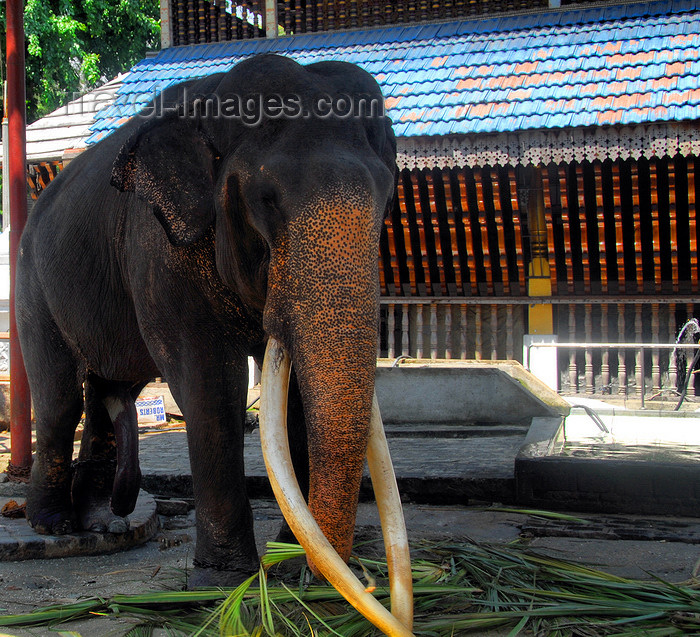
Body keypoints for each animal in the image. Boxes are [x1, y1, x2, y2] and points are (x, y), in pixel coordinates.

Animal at [16, 54, 404, 600]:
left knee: (107, 391)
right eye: (267, 199)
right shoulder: (159, 249)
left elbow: (291, 395)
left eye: (388, 197)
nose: (312, 576)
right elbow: (210, 381)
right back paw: (54, 525)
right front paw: (222, 582)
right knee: (59, 399)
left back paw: (105, 523)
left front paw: (289, 568)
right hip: (33, 286)